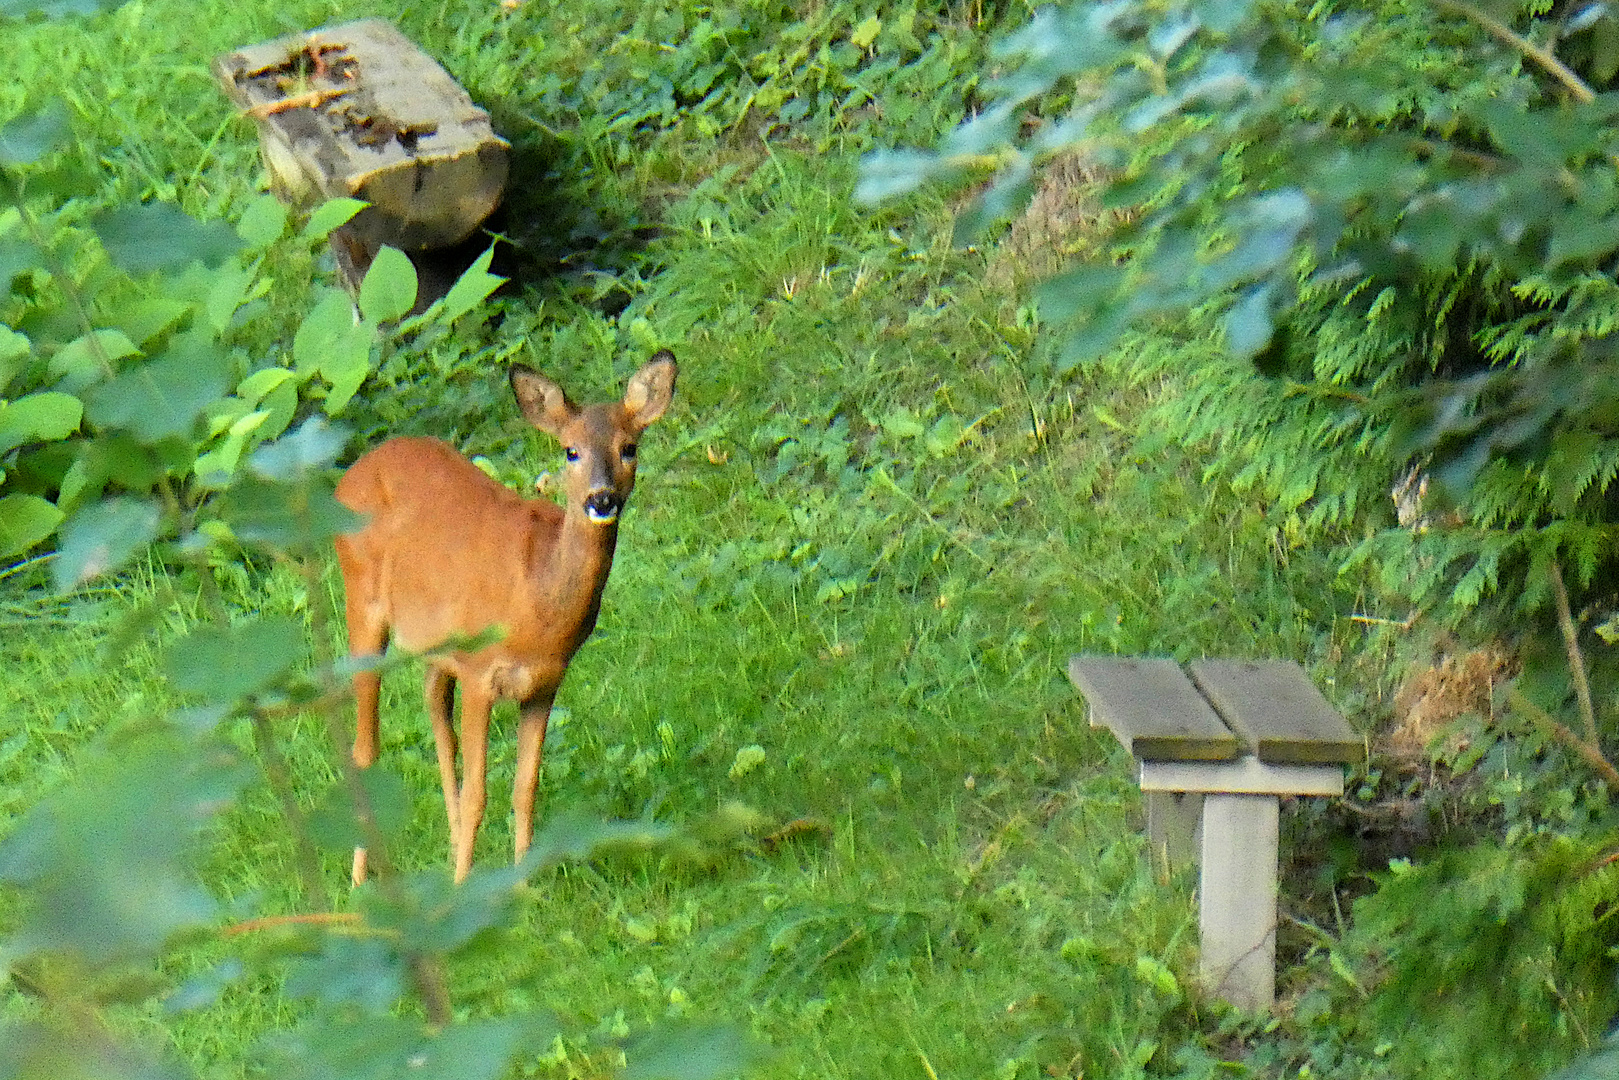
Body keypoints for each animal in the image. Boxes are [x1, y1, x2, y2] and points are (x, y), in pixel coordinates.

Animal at [336, 351, 676, 880]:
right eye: (570, 451)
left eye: (629, 448)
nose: (601, 499)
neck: (537, 603)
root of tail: (351, 474)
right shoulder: (480, 671)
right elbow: (479, 793)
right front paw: (463, 884)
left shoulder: (545, 681)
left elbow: (524, 787)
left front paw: (524, 882)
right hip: (363, 603)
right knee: (364, 748)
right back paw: (360, 882)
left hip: (436, 642)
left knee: (433, 706)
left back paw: (449, 845)